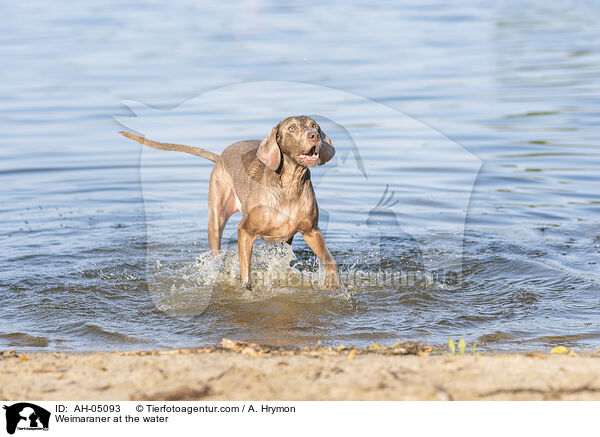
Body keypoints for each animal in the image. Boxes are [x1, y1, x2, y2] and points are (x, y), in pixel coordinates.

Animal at [120, 115, 342, 290]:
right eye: (292, 128)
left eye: (314, 125)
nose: (314, 136)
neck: (288, 184)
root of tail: (220, 156)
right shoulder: (245, 230)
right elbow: (246, 269)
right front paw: (246, 287)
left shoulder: (311, 230)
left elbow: (329, 259)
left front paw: (333, 283)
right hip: (216, 215)